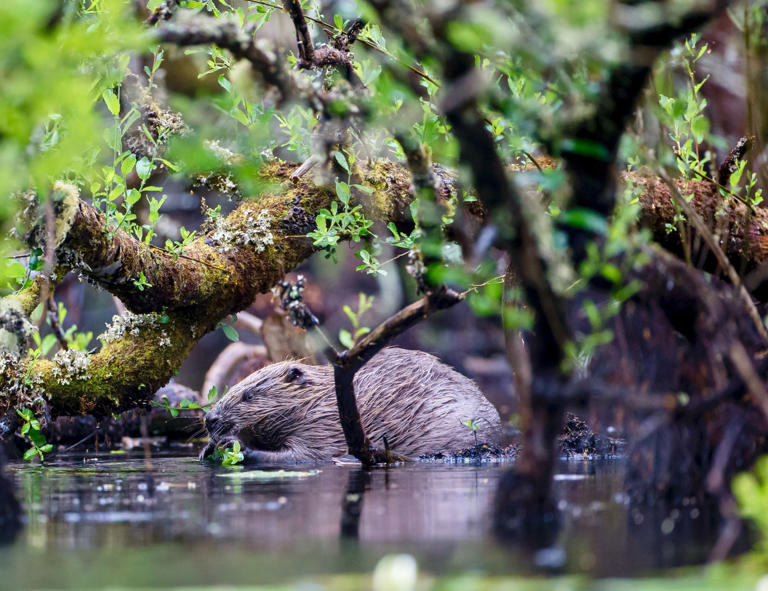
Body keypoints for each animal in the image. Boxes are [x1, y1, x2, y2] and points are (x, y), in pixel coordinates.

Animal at [201, 346, 508, 462]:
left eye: (248, 396)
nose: (210, 419)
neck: (320, 401)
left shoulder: (323, 429)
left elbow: (303, 457)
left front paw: (236, 446)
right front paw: (207, 449)